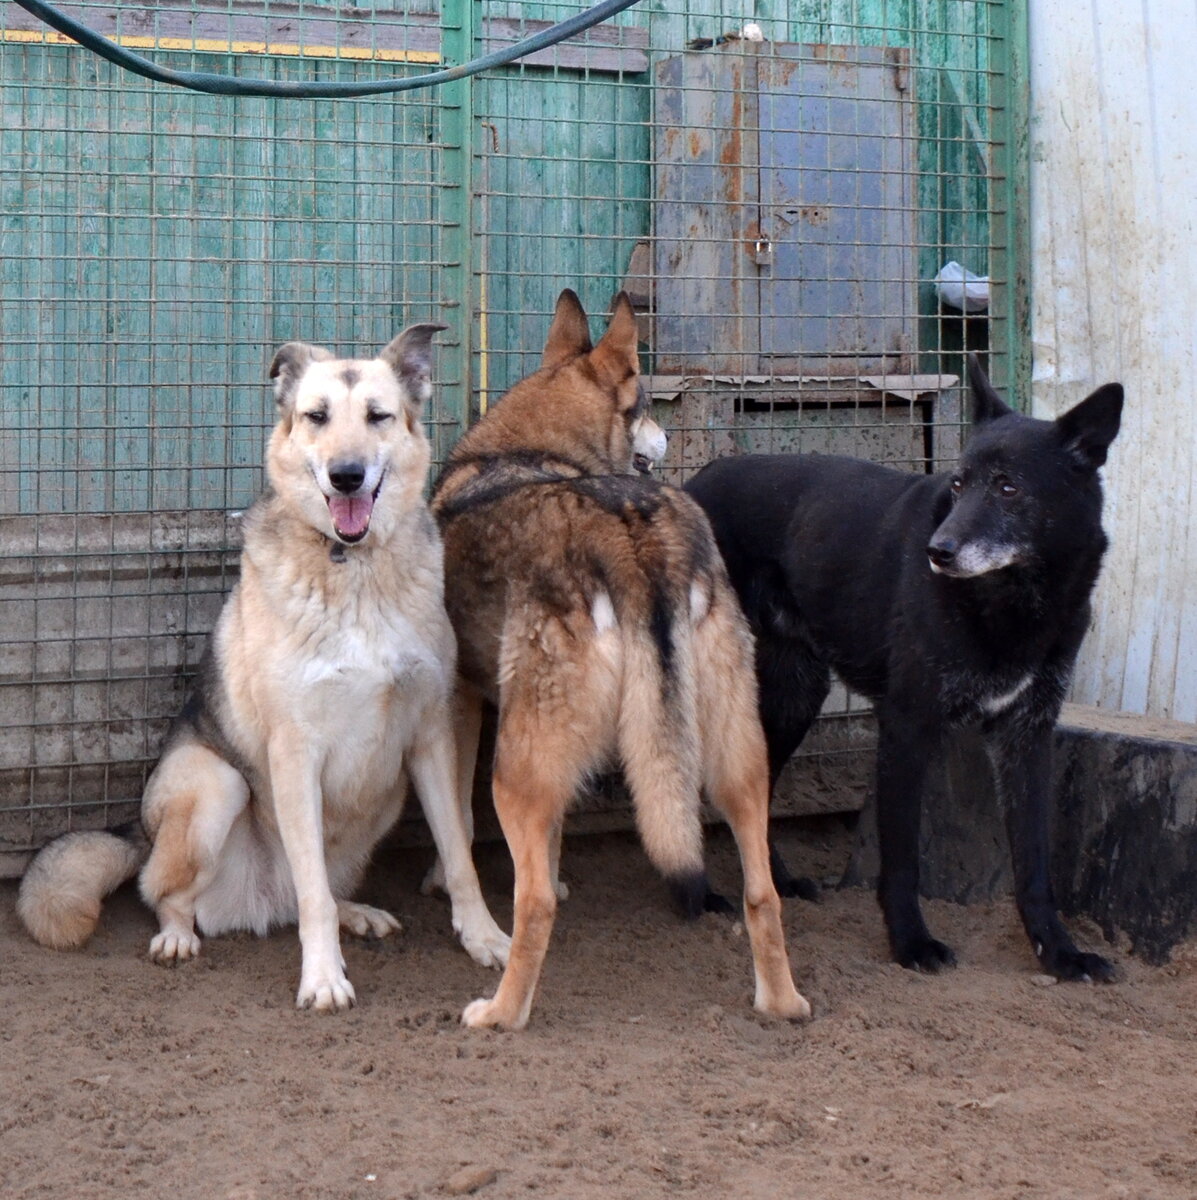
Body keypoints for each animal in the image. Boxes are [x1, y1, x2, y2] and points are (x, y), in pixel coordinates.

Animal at [17, 324, 510, 1008]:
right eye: (317, 416)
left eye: (378, 416)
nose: (346, 476)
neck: (352, 570)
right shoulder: (294, 751)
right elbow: (313, 896)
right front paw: (323, 977)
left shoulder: (430, 738)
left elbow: (459, 854)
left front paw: (485, 939)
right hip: (215, 785)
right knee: (169, 892)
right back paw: (178, 936)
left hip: (386, 793)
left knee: (320, 888)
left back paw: (358, 912)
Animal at [426, 290, 810, 1032]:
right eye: (646, 404)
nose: (664, 441)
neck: (532, 450)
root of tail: (634, 540)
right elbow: (542, 844)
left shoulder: (459, 704)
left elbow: (461, 827)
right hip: (737, 763)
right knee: (762, 892)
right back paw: (781, 1004)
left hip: (513, 773)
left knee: (533, 906)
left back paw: (500, 1014)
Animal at [690, 355, 1127, 984]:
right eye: (958, 483)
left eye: (1009, 487)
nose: (937, 552)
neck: (1015, 604)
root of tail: (688, 483)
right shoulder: (906, 724)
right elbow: (901, 859)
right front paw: (911, 943)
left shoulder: (1027, 735)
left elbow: (1034, 864)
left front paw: (1059, 953)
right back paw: (697, 897)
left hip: (796, 694)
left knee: (757, 790)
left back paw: (776, 881)